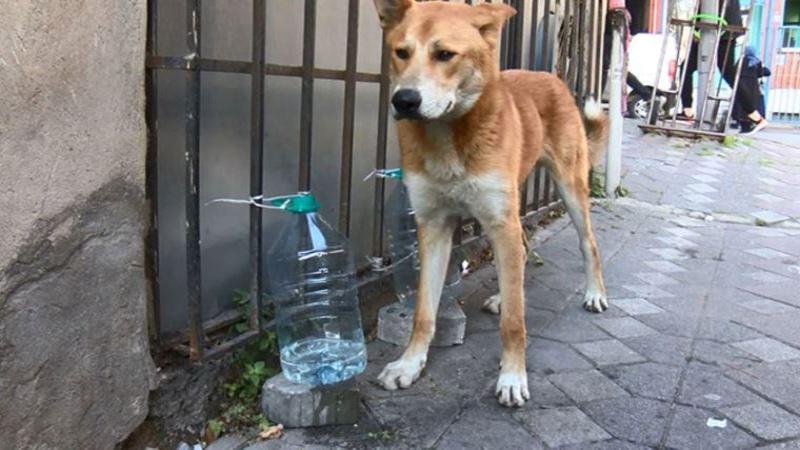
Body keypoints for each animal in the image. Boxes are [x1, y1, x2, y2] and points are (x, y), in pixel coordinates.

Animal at [372, 0, 608, 408]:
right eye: (401, 52)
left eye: (445, 54)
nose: (404, 100)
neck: (448, 136)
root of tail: (551, 76)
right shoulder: (434, 227)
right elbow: (423, 312)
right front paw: (409, 364)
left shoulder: (500, 222)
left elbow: (514, 323)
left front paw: (512, 377)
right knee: (523, 250)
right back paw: (503, 294)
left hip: (567, 186)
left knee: (587, 243)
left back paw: (594, 294)